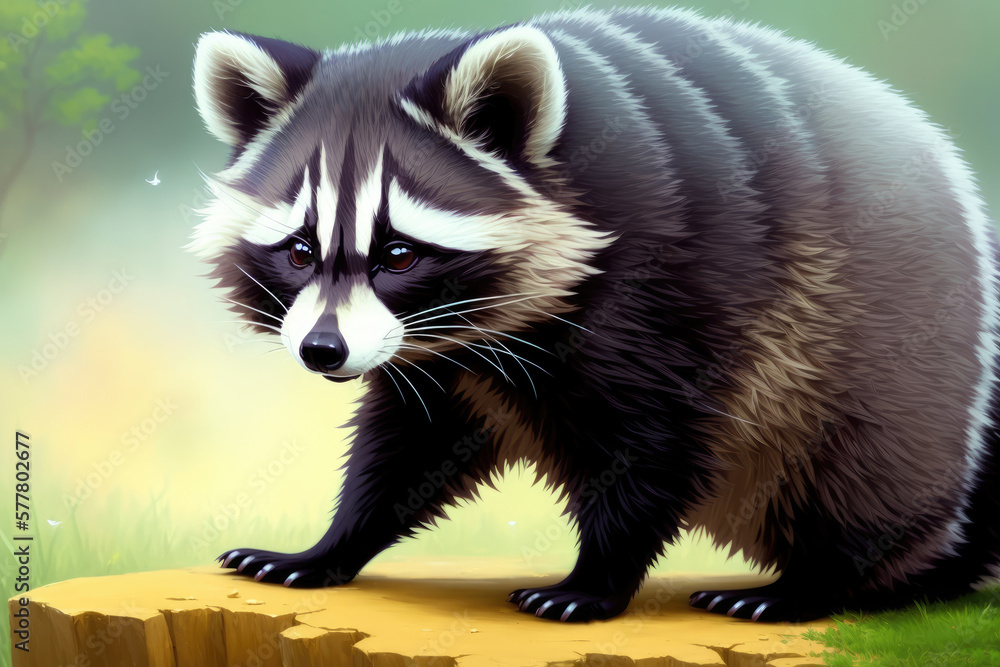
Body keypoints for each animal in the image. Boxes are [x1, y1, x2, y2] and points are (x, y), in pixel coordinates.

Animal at [189, 6, 1000, 622]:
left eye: (398, 253)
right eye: (299, 250)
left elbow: (652, 443)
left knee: (864, 460)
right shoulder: (437, 354)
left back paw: (826, 578)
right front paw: (334, 542)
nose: (322, 350)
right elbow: (408, 443)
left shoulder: (679, 273)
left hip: (890, 329)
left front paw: (597, 578)